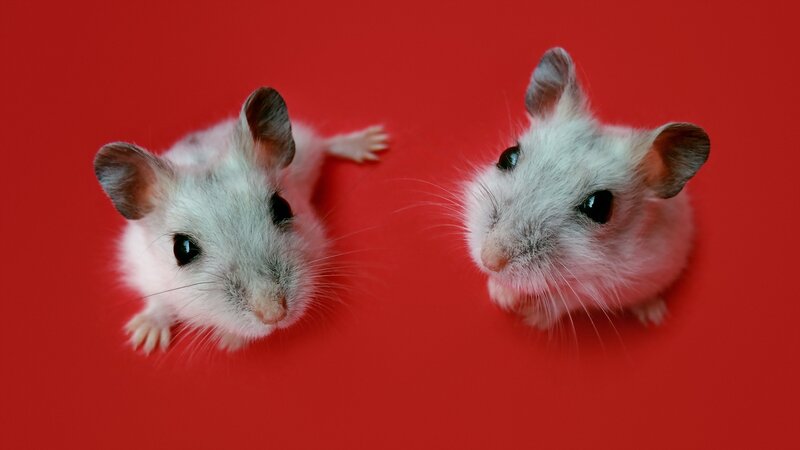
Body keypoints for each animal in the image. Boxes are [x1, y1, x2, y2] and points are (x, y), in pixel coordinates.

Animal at [94, 87, 389, 353]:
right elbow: (159, 302)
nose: (274, 315)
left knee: (326, 144)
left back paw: (371, 142)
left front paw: (229, 341)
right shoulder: (143, 268)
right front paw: (144, 340)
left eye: (282, 207)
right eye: (181, 249)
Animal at [463, 48, 709, 330]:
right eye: (508, 156)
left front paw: (531, 317)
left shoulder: (602, 287)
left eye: (599, 206)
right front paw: (500, 295)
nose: (490, 259)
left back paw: (654, 316)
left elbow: (561, 300)